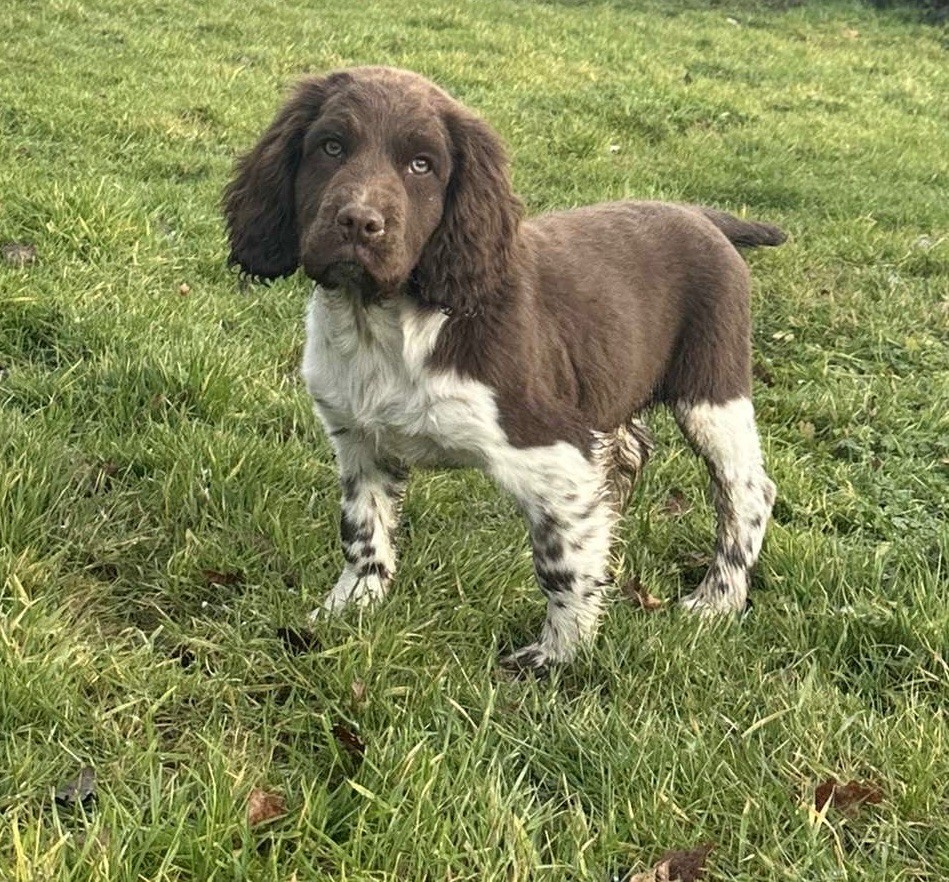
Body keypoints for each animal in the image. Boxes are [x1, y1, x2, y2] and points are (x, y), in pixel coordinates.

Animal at [224, 65, 784, 672]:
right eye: (330, 147)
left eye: (422, 165)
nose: (358, 222)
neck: (384, 322)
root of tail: (701, 215)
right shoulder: (358, 440)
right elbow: (362, 528)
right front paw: (350, 607)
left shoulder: (553, 447)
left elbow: (561, 560)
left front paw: (557, 657)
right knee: (631, 452)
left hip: (712, 389)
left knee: (747, 493)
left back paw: (717, 601)